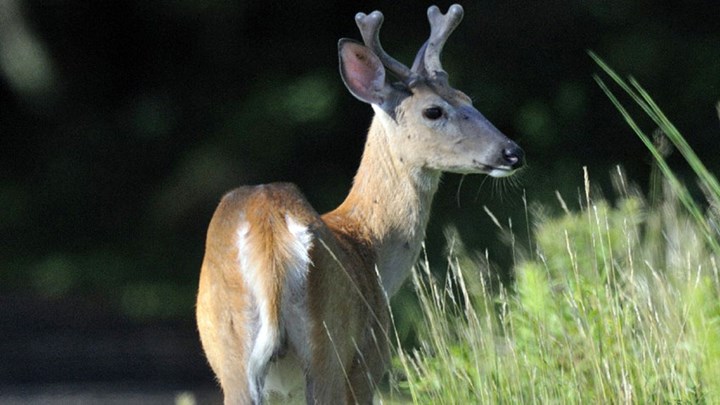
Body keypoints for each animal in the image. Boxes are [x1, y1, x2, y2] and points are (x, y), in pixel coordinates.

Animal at [195, 3, 524, 404]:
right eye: (433, 111)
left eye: (468, 99)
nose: (512, 152)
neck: (370, 247)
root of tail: (268, 232)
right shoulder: (369, 360)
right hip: (330, 350)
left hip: (233, 358)